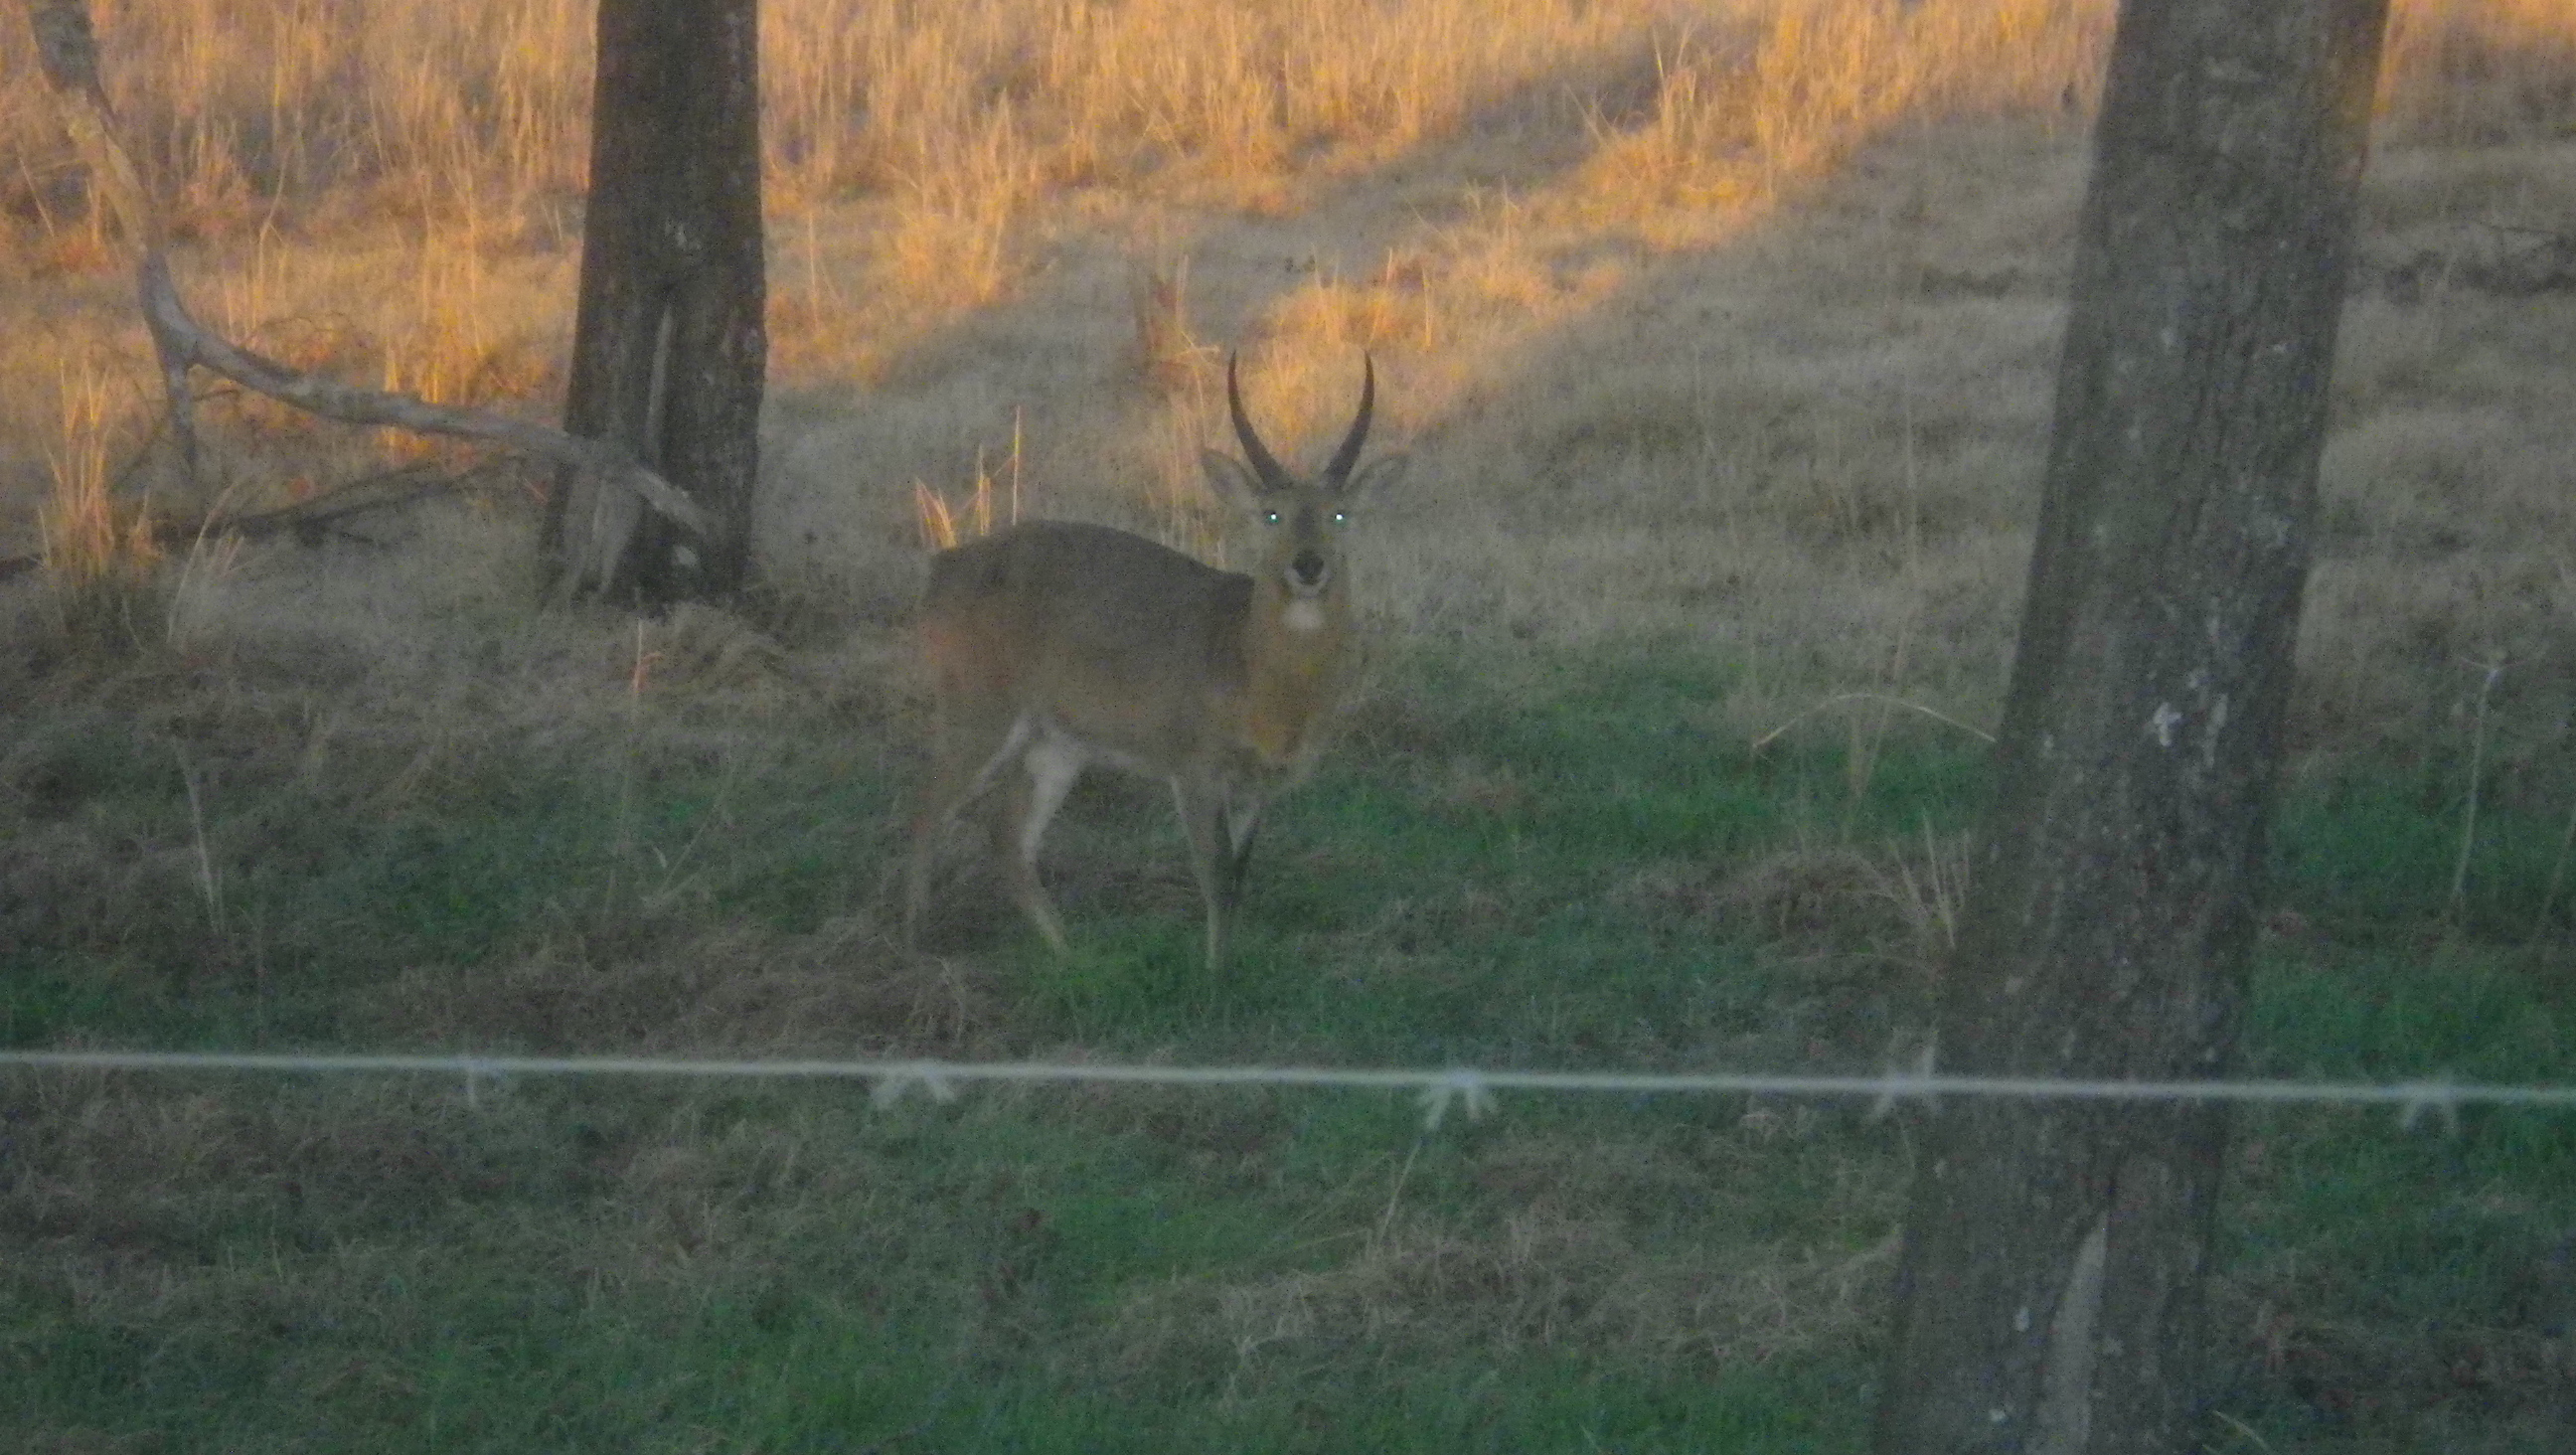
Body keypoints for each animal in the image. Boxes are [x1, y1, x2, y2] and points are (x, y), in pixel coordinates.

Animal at [896, 352, 1401, 963]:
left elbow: (1239, 876)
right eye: (1271, 513)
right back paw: (918, 944)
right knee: (926, 810)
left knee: (1006, 835)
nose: (1308, 566)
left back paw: (1072, 955)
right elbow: (1215, 877)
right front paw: (1215, 977)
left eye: (1340, 514)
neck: (1252, 666)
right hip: (978, 712)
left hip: (1058, 742)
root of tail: (939, 569)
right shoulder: (1194, 768)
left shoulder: (1260, 785)